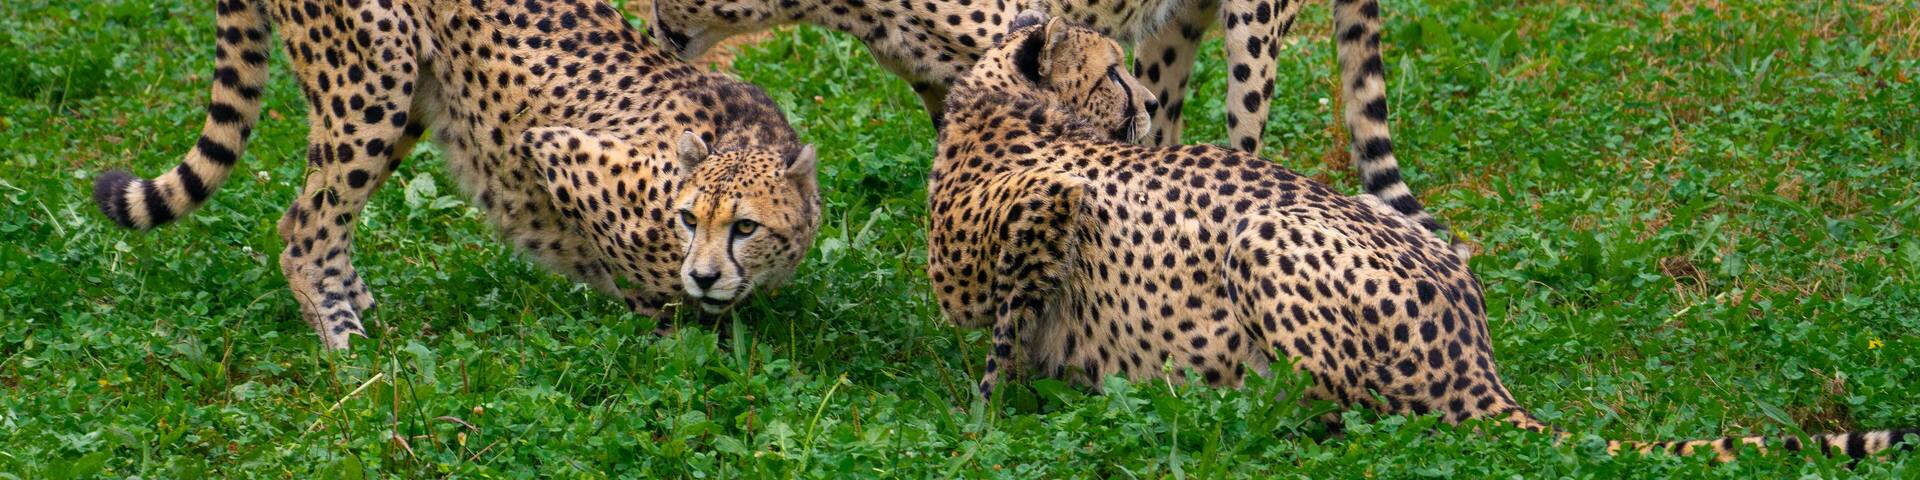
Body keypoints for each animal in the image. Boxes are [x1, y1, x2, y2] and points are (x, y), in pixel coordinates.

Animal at [91, 0, 821, 348]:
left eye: (745, 226)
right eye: (689, 218)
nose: (705, 275)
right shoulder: (555, 149)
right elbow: (643, 287)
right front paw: (674, 336)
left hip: (411, 95)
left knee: (319, 219)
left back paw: (364, 308)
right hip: (372, 77)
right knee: (304, 229)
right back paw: (349, 346)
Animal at [649, 0, 1461, 250]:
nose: (656, 27)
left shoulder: (1026, 34)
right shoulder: (951, 86)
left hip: (1249, 36)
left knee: (1240, 135)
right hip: (1171, 34)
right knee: (1168, 126)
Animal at [925, 11, 1920, 462]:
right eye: (1110, 73)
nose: (1138, 103)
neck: (1001, 109)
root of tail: (1477, 358)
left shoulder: (1043, 211)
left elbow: (1006, 323)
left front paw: (983, 419)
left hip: (1268, 235)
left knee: (1353, 410)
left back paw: (1222, 413)